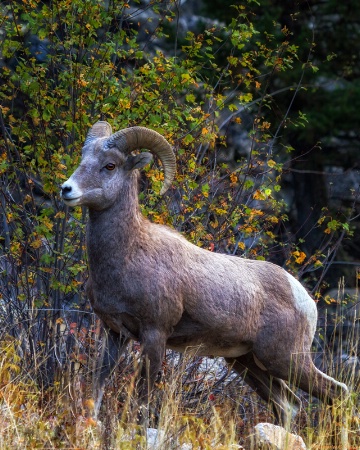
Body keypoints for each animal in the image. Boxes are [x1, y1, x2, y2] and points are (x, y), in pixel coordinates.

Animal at [60, 123, 348, 426]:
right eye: (83, 158)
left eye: (110, 165)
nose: (67, 189)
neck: (128, 252)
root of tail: (304, 298)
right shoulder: (115, 333)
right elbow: (97, 387)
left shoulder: (154, 334)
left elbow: (143, 398)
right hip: (246, 362)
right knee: (289, 405)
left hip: (286, 359)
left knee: (336, 392)